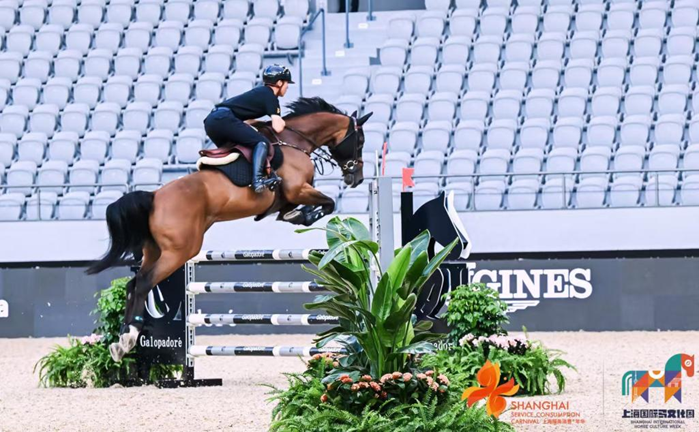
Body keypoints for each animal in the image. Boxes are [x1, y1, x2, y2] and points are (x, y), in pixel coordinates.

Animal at [86, 97, 372, 362]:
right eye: (360, 141)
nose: (356, 178)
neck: (294, 141)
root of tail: (154, 197)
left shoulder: (291, 196)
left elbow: (296, 209)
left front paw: (295, 215)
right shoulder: (298, 189)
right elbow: (328, 203)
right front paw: (305, 216)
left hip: (155, 251)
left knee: (133, 283)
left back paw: (121, 340)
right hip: (180, 251)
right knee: (144, 282)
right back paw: (130, 337)